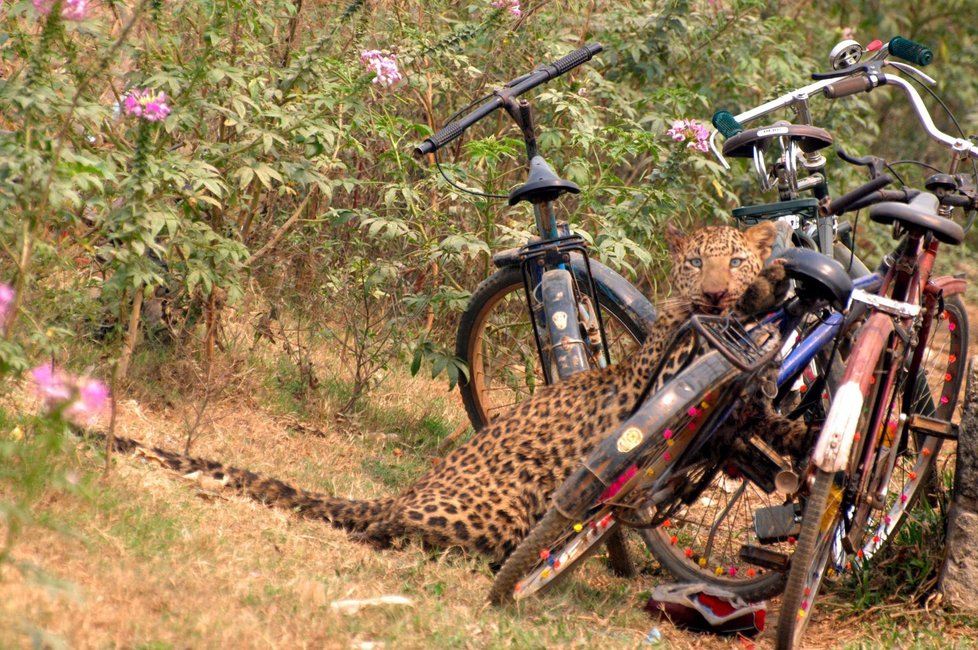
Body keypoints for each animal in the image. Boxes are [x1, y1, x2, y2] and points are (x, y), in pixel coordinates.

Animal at [97, 220, 792, 564]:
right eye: (696, 261)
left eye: (734, 260)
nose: (716, 291)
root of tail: (402, 492)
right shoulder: (663, 375)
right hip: (488, 511)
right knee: (389, 532)